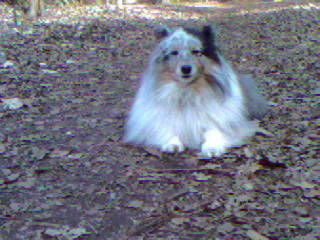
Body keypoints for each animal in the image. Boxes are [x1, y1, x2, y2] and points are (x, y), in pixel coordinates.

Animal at [124, 24, 266, 158]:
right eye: (174, 52)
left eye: (196, 52)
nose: (186, 68)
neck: (187, 90)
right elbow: (166, 128)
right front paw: (172, 143)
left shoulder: (219, 119)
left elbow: (214, 130)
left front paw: (212, 148)